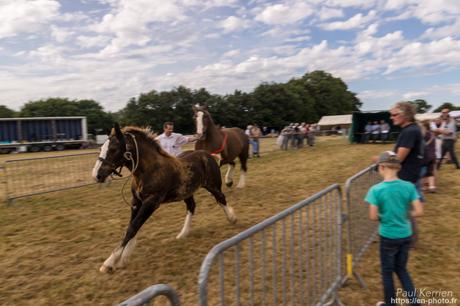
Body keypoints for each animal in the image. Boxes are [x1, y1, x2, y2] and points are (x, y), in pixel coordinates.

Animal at [91, 123, 235, 272]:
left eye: (113, 149)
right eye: (101, 148)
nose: (97, 175)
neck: (148, 171)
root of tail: (208, 154)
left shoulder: (152, 202)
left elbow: (133, 227)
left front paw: (109, 262)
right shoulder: (136, 202)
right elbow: (132, 226)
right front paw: (123, 259)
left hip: (213, 186)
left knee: (221, 199)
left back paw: (232, 218)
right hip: (186, 192)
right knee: (191, 206)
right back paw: (183, 234)